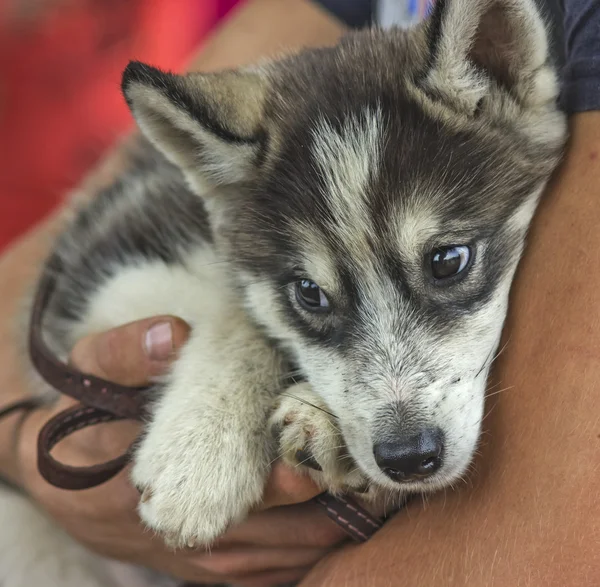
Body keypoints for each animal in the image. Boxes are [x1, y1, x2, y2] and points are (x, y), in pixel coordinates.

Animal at [0, 0, 568, 584]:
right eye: (310, 294)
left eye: (447, 261)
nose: (409, 458)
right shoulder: (103, 266)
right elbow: (240, 305)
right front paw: (201, 449)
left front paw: (317, 424)